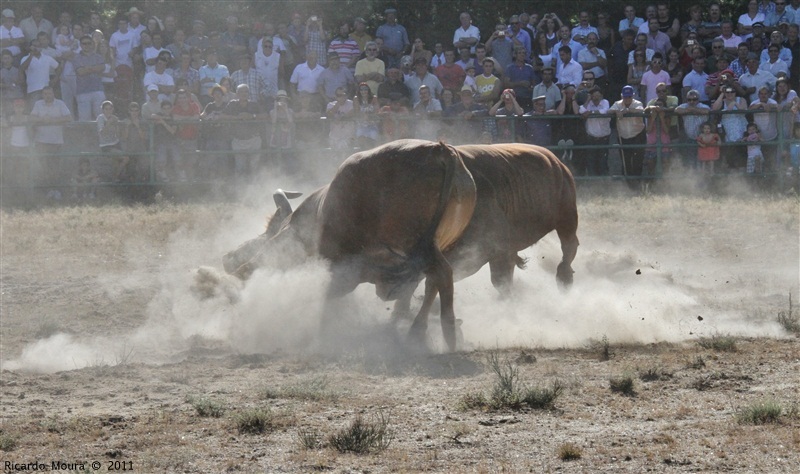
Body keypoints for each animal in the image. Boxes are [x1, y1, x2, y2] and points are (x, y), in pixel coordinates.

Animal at [222, 139, 478, 350]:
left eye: (262, 237)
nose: (227, 258)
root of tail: (439, 150)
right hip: (435, 245)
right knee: (434, 280)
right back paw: (421, 331)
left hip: (418, 245)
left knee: (441, 274)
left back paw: (445, 333)